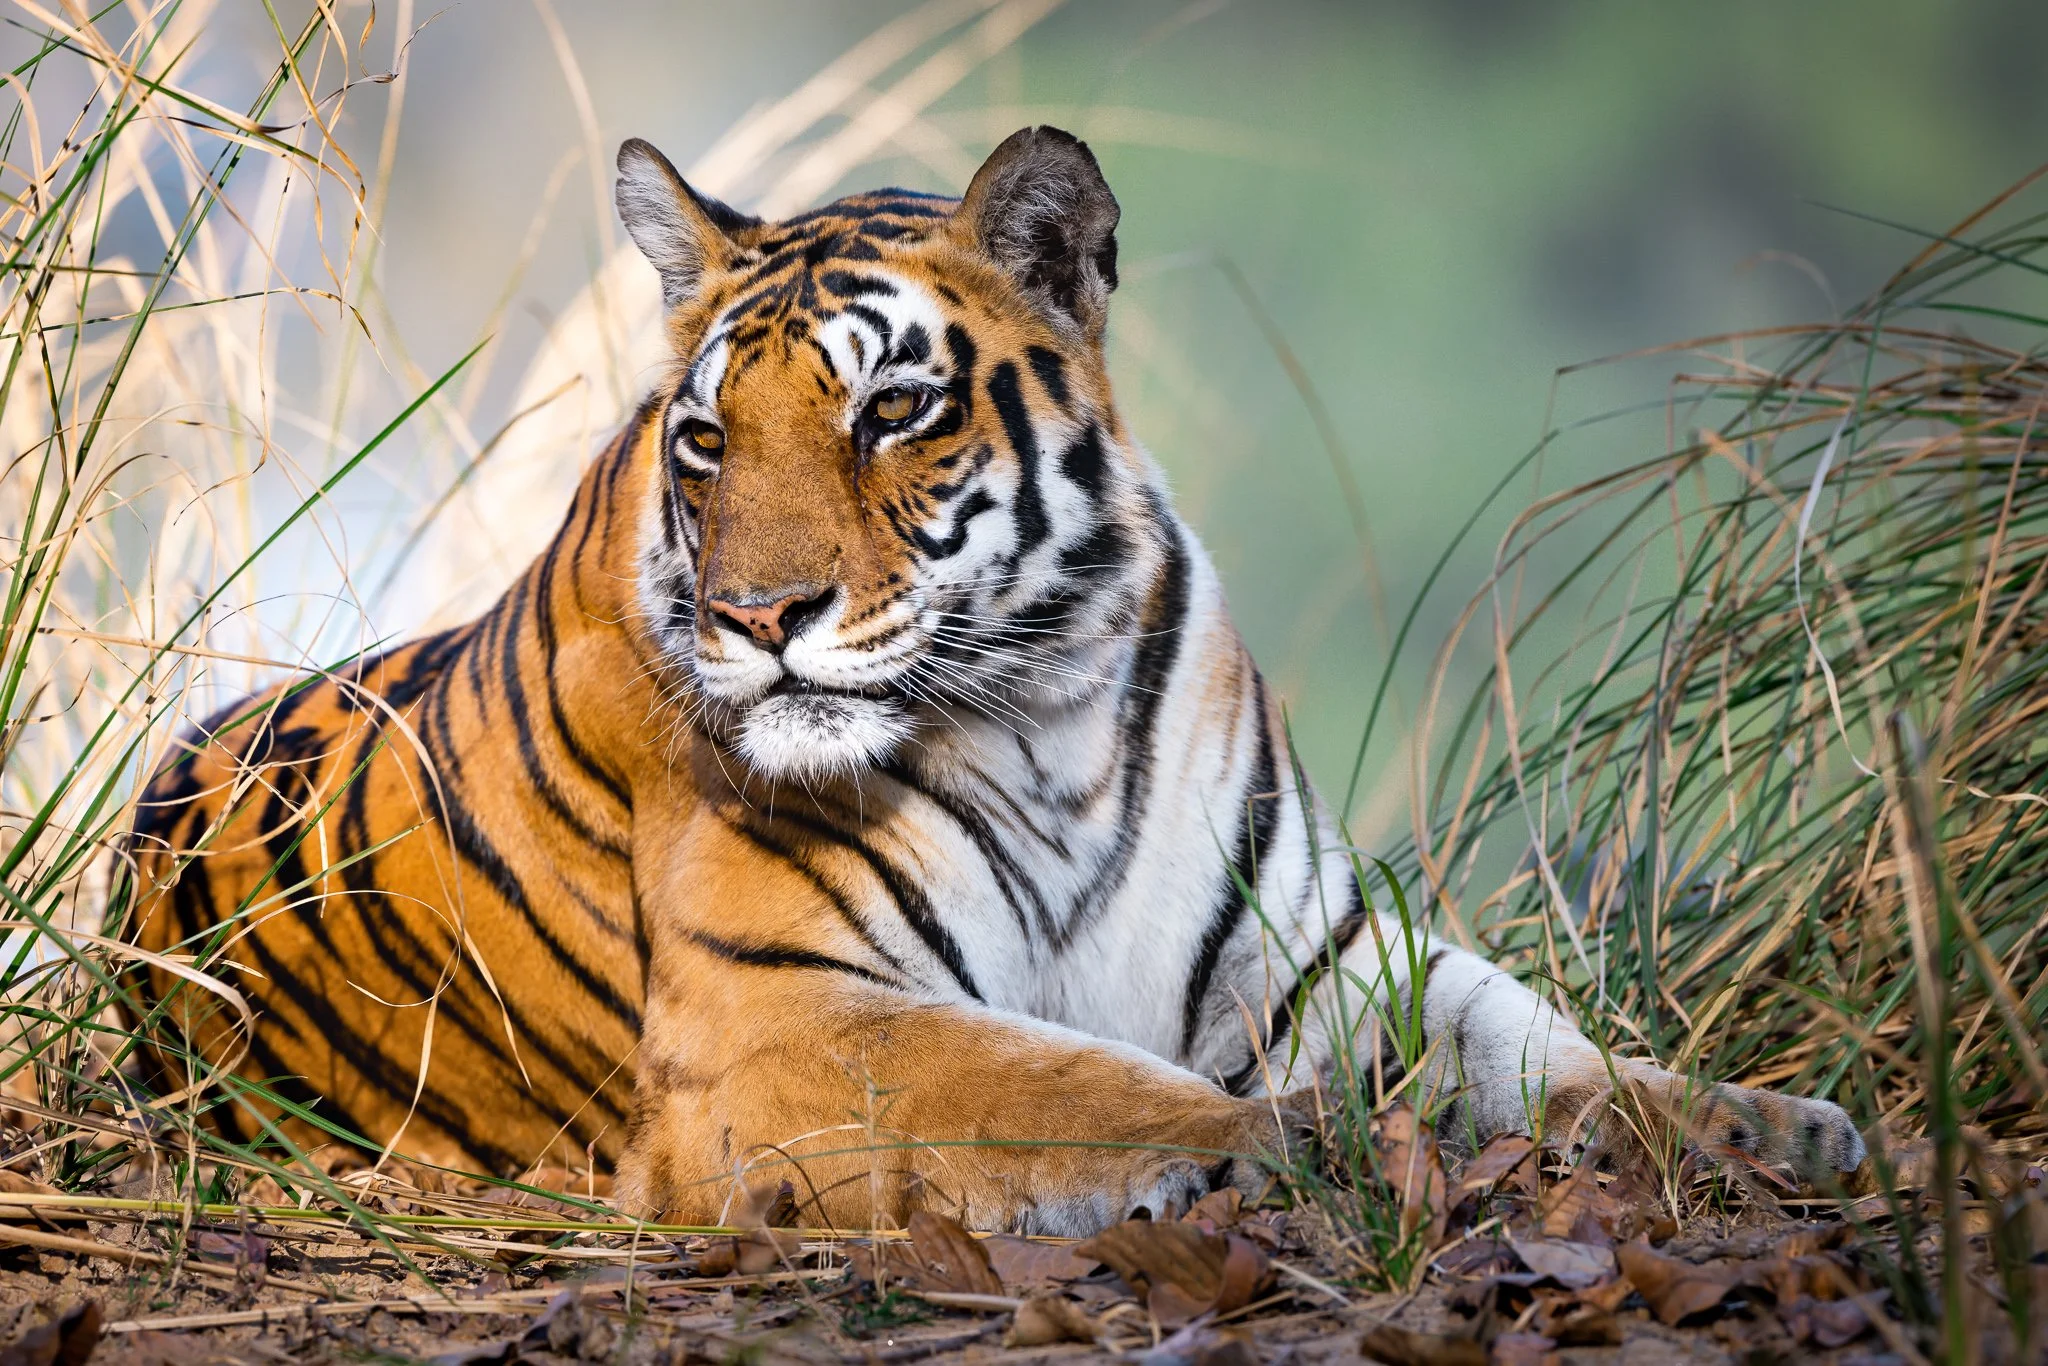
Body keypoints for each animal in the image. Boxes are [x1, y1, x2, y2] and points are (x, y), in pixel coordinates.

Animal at [124, 127, 1866, 1234]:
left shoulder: (1323, 948)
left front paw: (1767, 1123)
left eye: (892, 409)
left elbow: (1547, 1050)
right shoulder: (781, 1017)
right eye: (709, 441)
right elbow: (1098, 1090)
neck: (1047, 711)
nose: (758, 614)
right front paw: (1316, 1147)